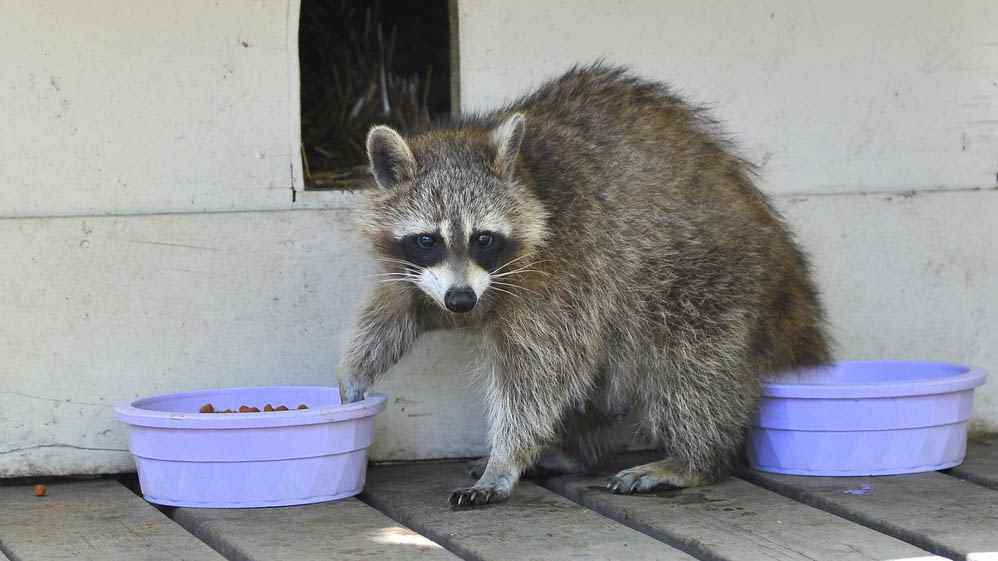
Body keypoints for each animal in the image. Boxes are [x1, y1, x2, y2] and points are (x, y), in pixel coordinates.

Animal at [340, 63, 832, 506]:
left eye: (483, 238)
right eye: (428, 239)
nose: (461, 301)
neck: (529, 176)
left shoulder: (565, 265)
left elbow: (537, 373)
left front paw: (506, 457)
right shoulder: (423, 271)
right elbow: (402, 308)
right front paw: (355, 369)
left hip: (708, 281)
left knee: (691, 366)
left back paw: (693, 458)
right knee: (600, 371)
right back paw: (580, 452)